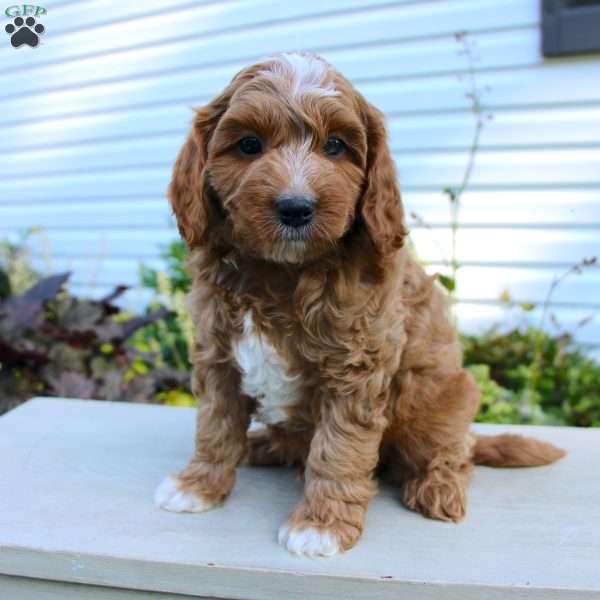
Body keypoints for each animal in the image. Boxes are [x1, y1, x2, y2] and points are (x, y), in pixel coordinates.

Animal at [152, 52, 564, 556]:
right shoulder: (218, 353)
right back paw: (263, 445)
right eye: (248, 145)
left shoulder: (357, 366)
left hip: (445, 400)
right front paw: (198, 485)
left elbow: (338, 449)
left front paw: (321, 524)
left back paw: (438, 486)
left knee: (453, 452)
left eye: (335, 147)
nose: (295, 208)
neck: (281, 272)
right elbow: (214, 425)